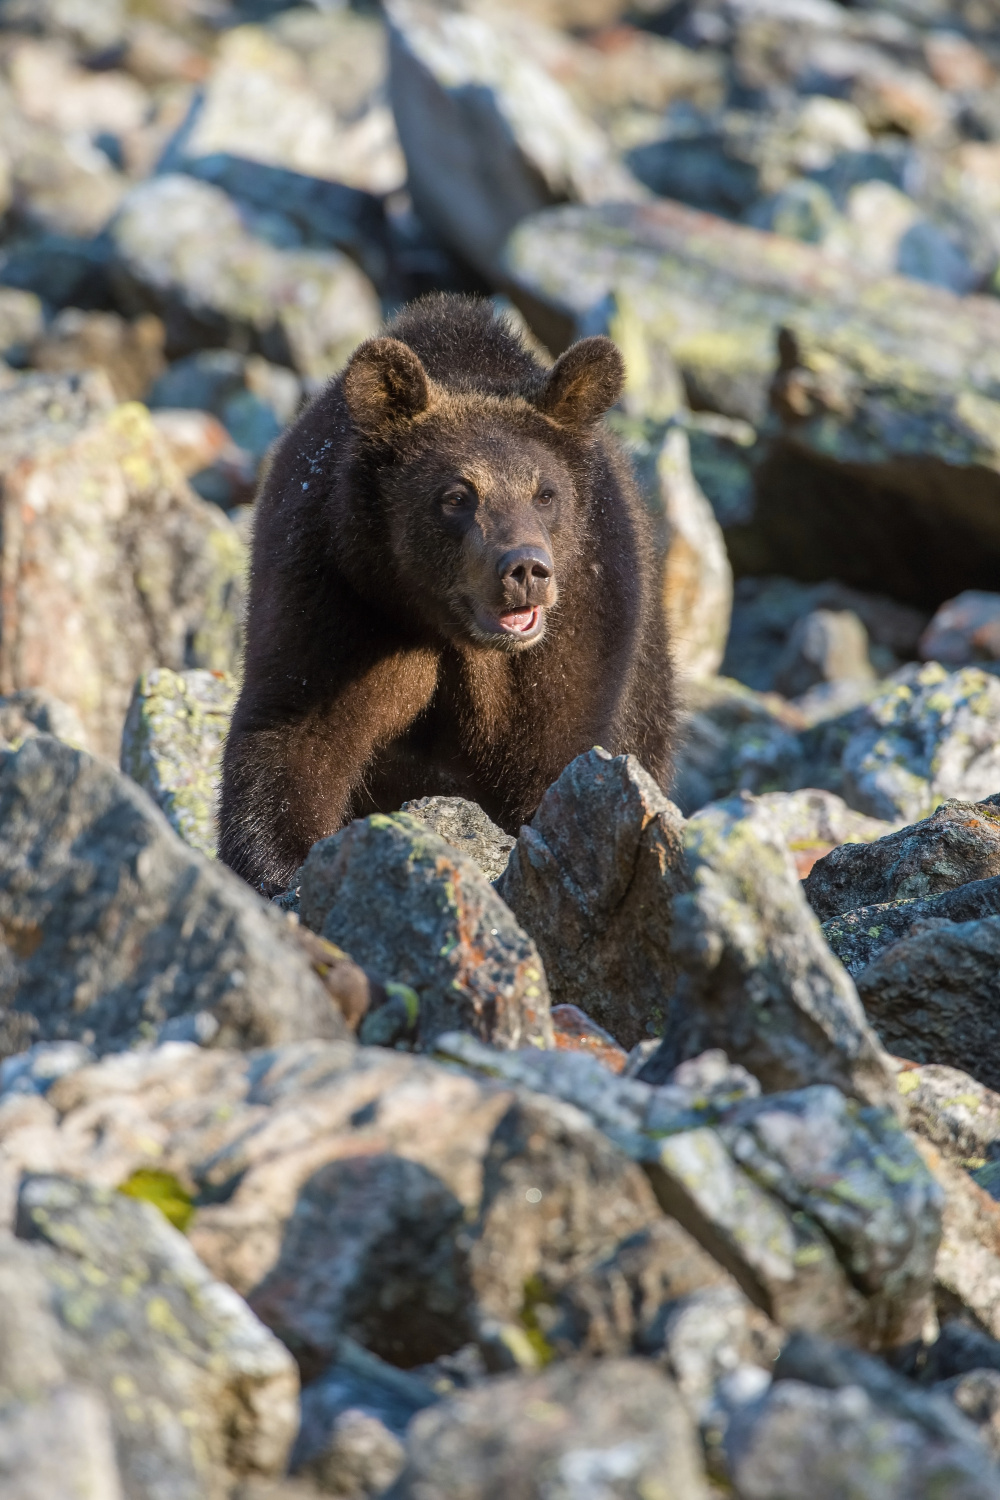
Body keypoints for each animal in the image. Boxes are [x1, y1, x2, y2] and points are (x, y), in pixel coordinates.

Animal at [217, 298, 671, 894]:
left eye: (545, 492)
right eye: (457, 495)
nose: (526, 569)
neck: (445, 628)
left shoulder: (581, 633)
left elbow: (555, 758)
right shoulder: (336, 597)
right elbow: (296, 733)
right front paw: (282, 869)